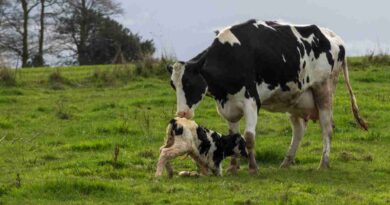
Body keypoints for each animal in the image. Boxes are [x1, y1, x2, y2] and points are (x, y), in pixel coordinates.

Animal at [166, 19, 368, 173]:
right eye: (172, 85)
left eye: (189, 83)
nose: (182, 113)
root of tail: (333, 36)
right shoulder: (229, 106)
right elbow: (233, 135)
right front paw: (233, 167)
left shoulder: (251, 101)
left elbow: (249, 137)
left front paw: (253, 167)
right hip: (295, 98)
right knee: (299, 130)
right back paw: (286, 162)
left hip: (323, 90)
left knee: (327, 128)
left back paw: (323, 164)